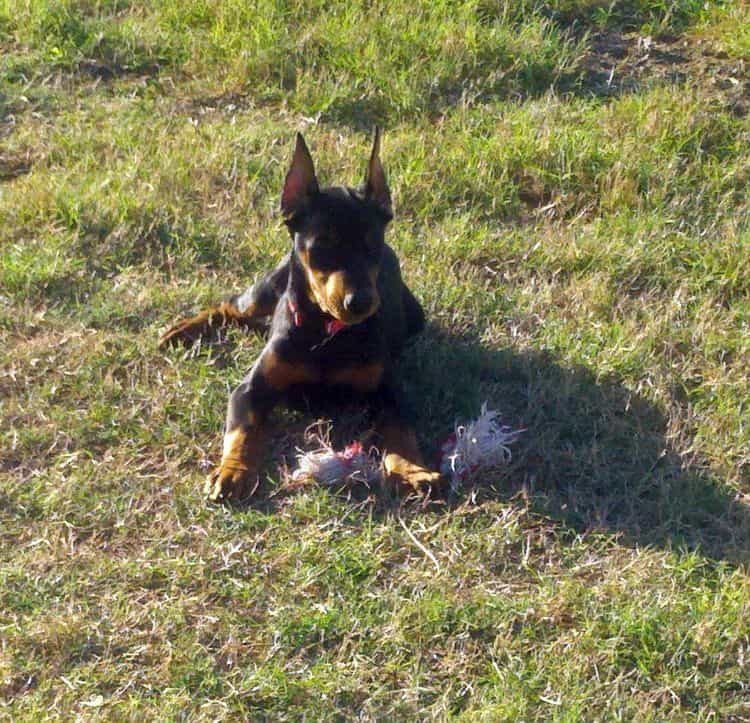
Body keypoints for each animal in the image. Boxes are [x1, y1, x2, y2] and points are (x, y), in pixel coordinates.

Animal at [160, 130, 446, 504]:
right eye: (321, 246)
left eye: (374, 245)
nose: (361, 302)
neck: (324, 332)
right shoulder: (250, 389)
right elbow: (242, 431)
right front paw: (232, 471)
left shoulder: (388, 392)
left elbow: (400, 431)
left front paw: (414, 470)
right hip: (269, 286)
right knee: (230, 307)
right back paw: (181, 331)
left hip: (415, 315)